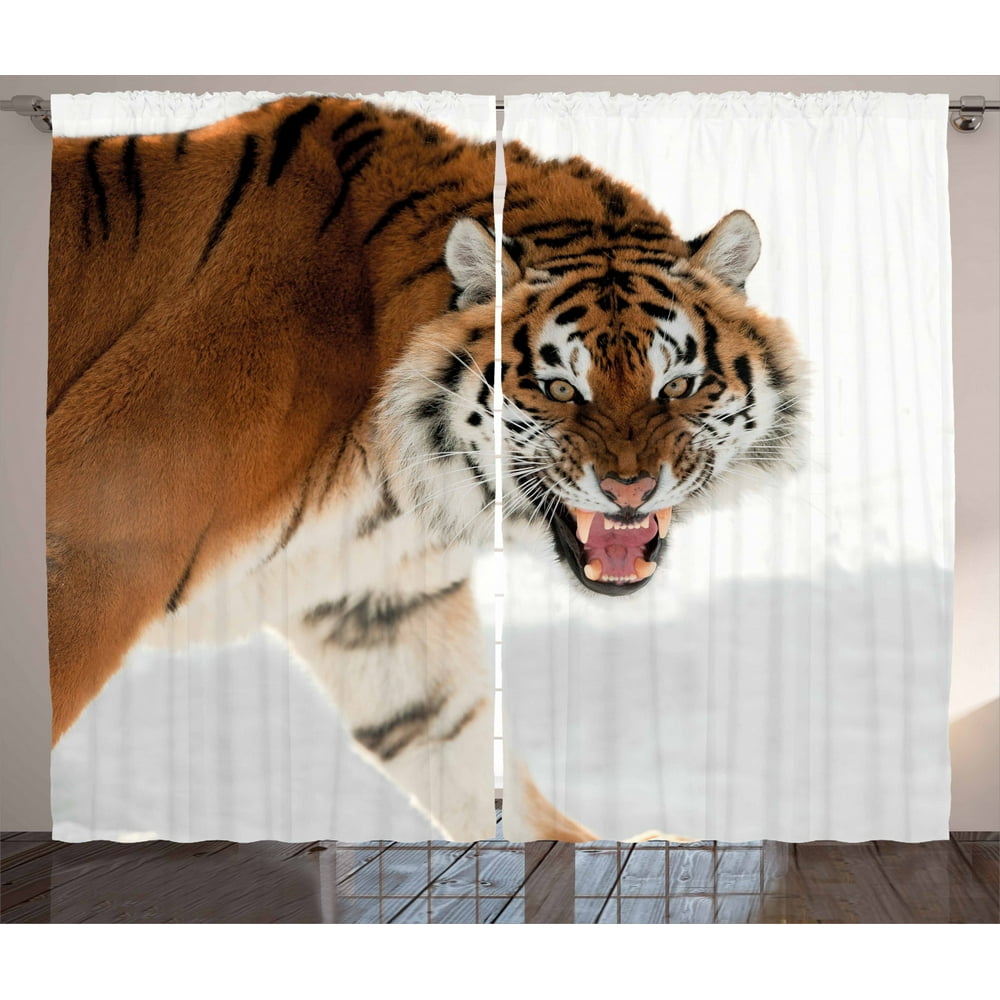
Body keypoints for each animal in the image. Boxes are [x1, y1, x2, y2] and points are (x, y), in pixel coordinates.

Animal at [46, 95, 805, 843]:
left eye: (678, 384)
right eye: (561, 388)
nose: (631, 487)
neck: (395, 473)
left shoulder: (381, 600)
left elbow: (465, 751)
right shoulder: (96, 550)